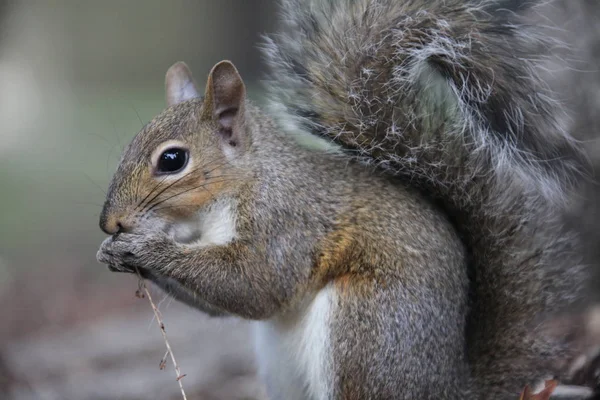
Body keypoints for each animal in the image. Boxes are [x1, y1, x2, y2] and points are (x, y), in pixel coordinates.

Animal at [96, 0, 592, 400]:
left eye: (172, 160)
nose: (110, 223)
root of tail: (450, 387)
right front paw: (113, 252)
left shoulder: (285, 219)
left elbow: (257, 285)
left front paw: (144, 247)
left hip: (365, 329)